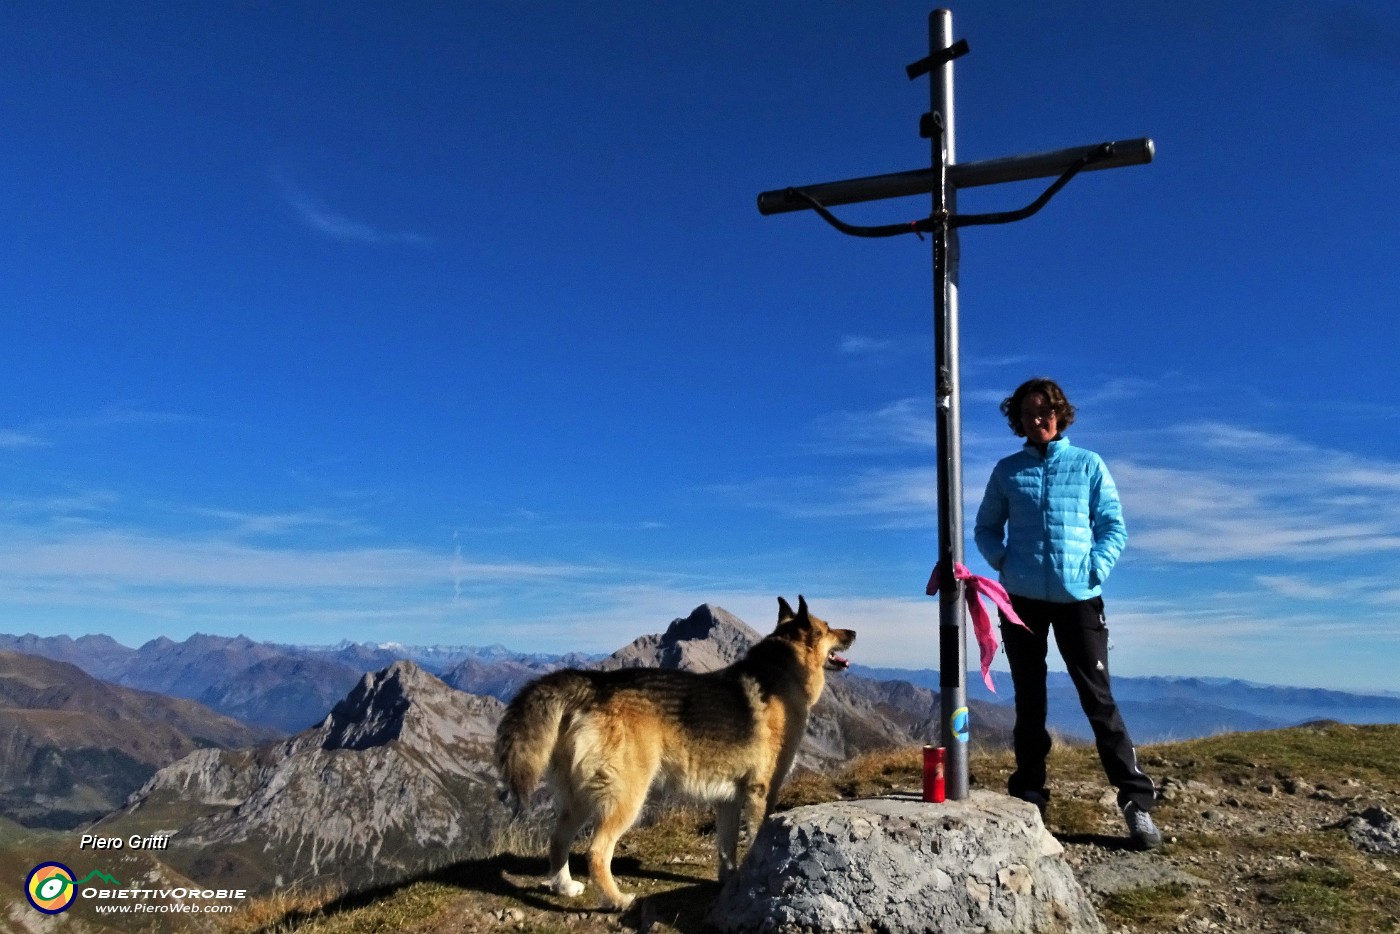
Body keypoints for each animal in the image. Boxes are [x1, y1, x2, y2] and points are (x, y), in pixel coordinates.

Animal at [498, 596, 856, 907]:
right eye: (827, 628)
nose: (853, 633)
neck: (782, 673)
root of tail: (594, 685)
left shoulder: (730, 799)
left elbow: (726, 848)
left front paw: (732, 882)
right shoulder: (761, 793)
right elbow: (754, 841)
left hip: (580, 798)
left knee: (558, 839)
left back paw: (565, 887)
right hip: (626, 798)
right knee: (596, 852)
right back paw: (617, 901)